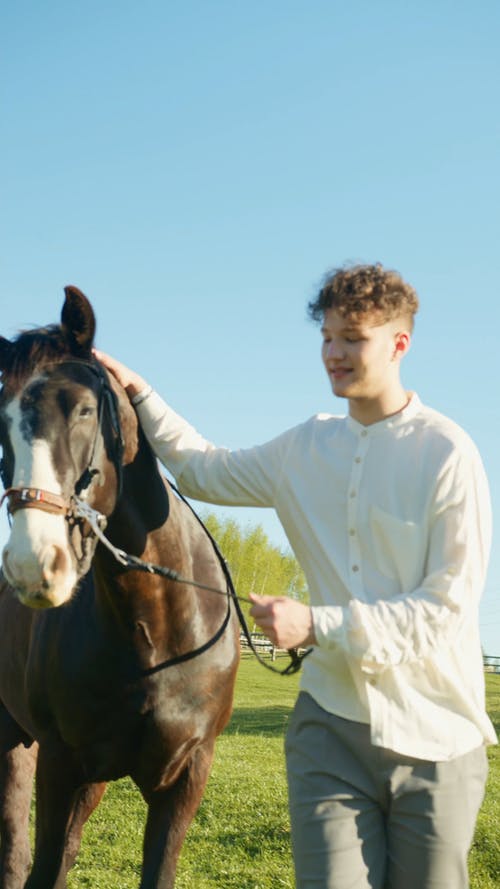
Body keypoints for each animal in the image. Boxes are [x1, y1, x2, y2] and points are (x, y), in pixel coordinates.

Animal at [0, 288, 240, 884]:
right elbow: (44, 867)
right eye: (0, 421)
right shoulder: (61, 762)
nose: (33, 564)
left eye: (85, 409)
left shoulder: (184, 778)